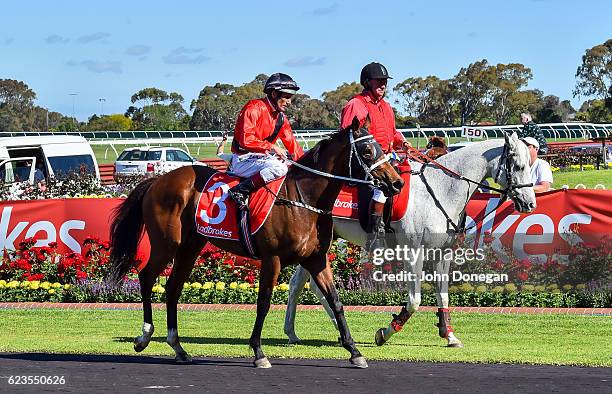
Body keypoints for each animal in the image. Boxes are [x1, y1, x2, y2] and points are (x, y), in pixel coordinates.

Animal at [107, 117, 404, 370]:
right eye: (367, 151)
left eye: (381, 147)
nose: (397, 182)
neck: (303, 199)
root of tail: (158, 180)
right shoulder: (272, 259)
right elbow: (263, 303)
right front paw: (259, 352)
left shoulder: (316, 259)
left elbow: (336, 301)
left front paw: (354, 351)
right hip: (167, 243)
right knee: (146, 277)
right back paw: (144, 337)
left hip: (190, 247)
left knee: (172, 288)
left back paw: (178, 348)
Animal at [284, 133, 536, 348]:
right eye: (519, 166)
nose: (530, 203)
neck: (439, 190)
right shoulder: (413, 253)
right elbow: (415, 300)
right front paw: (386, 332)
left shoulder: (442, 253)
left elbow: (443, 295)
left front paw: (449, 334)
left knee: (301, 285)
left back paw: (300, 331)